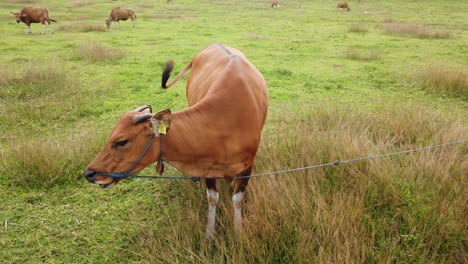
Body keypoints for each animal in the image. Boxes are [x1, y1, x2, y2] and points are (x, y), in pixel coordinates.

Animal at [83, 43, 266, 239]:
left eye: (121, 141)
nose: (89, 173)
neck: (224, 121)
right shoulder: (208, 167)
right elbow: (212, 198)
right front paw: (210, 233)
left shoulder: (247, 167)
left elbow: (237, 200)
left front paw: (238, 231)